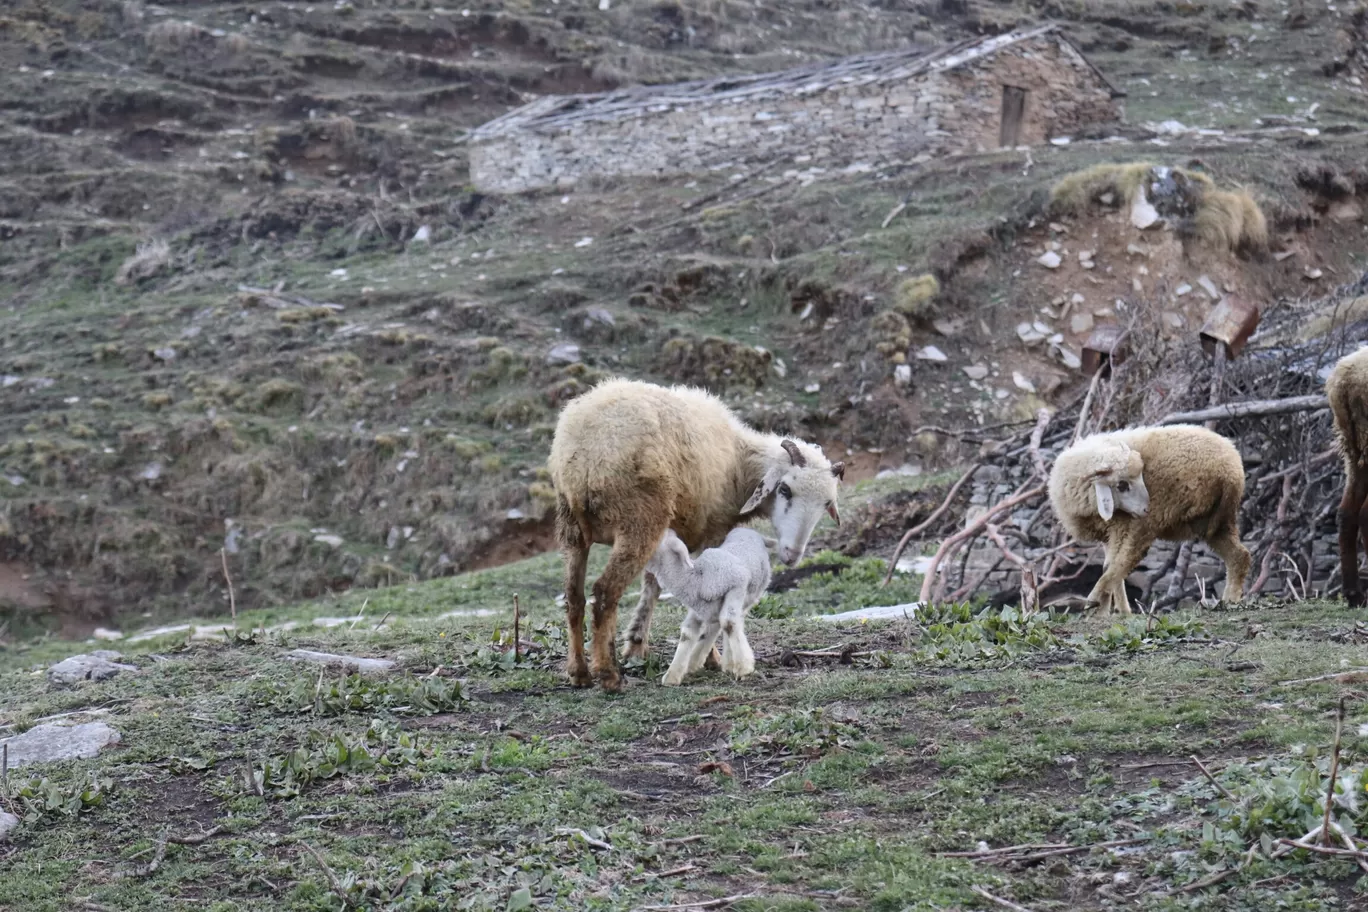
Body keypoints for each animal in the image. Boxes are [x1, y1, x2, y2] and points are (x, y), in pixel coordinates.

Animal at [640, 527, 771, 683]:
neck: (697, 578)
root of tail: (748, 529)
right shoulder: (698, 609)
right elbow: (688, 633)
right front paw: (672, 676)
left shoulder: (738, 584)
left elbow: (729, 623)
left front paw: (743, 668)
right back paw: (723, 662)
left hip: (753, 592)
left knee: (732, 621)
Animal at [1045, 426, 1253, 612]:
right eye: (1121, 485)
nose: (1145, 508)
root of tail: (1232, 469)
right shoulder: (1107, 533)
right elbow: (1107, 566)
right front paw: (1114, 613)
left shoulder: (1121, 526)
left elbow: (1111, 565)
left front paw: (1105, 610)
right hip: (1215, 521)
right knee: (1239, 556)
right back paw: (1230, 601)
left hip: (1155, 517)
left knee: (1129, 558)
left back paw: (1093, 599)